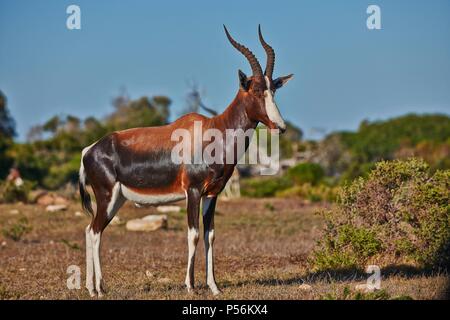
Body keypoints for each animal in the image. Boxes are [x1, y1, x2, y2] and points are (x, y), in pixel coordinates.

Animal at [79, 25, 294, 298]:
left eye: (273, 89)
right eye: (256, 90)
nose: (280, 126)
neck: (213, 131)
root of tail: (89, 150)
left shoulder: (212, 194)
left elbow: (210, 236)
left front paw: (214, 286)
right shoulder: (192, 191)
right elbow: (193, 235)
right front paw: (190, 285)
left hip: (116, 200)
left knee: (90, 230)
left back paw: (92, 286)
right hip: (107, 197)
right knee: (95, 231)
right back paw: (97, 289)